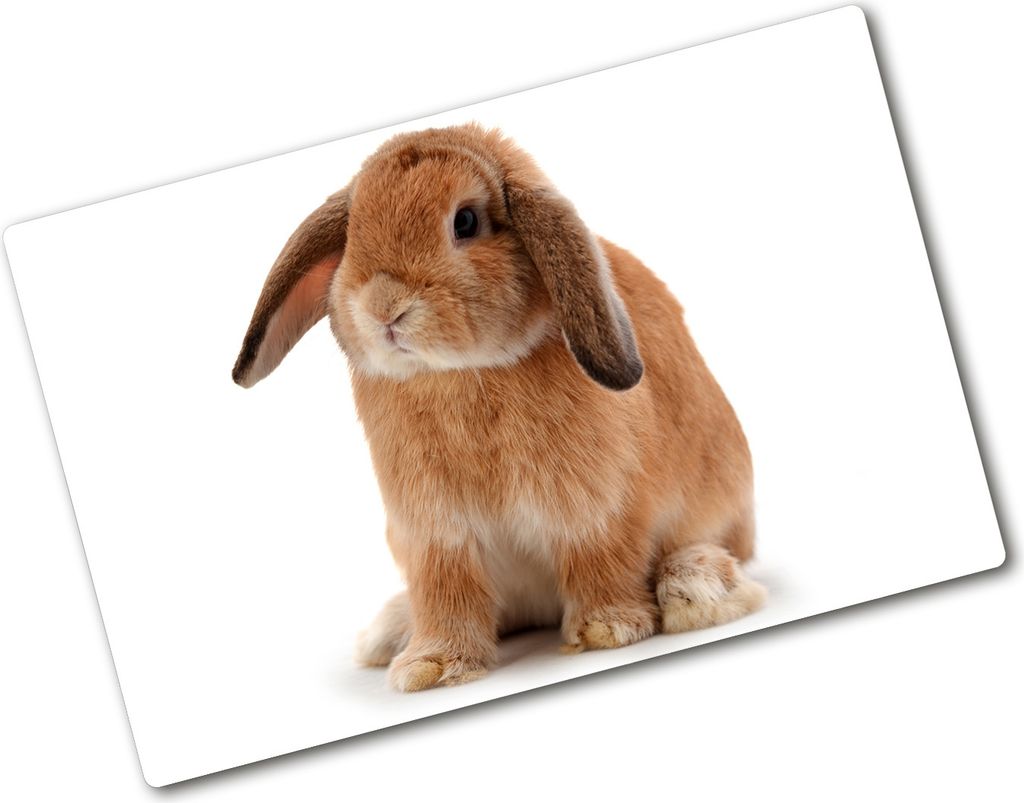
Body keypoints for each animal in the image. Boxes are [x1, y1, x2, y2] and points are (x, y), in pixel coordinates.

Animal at [232, 123, 765, 692]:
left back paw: (698, 586)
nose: (383, 307)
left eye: (465, 221)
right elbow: (446, 592)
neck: (459, 373)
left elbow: (598, 557)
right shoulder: (436, 533)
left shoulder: (595, 506)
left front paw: (607, 630)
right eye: (353, 233)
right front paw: (430, 666)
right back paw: (388, 633)